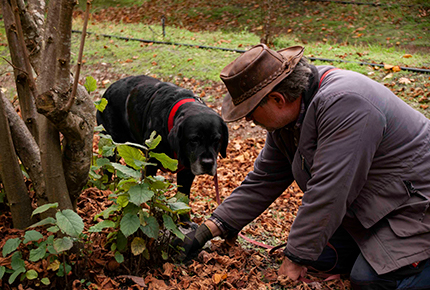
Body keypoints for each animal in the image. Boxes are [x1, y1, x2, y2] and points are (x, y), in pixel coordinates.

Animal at [97, 75, 228, 197]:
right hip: (111, 146)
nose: (207, 163)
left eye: (216, 140)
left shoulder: (187, 172)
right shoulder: (150, 163)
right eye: (194, 139)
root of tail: (108, 89)